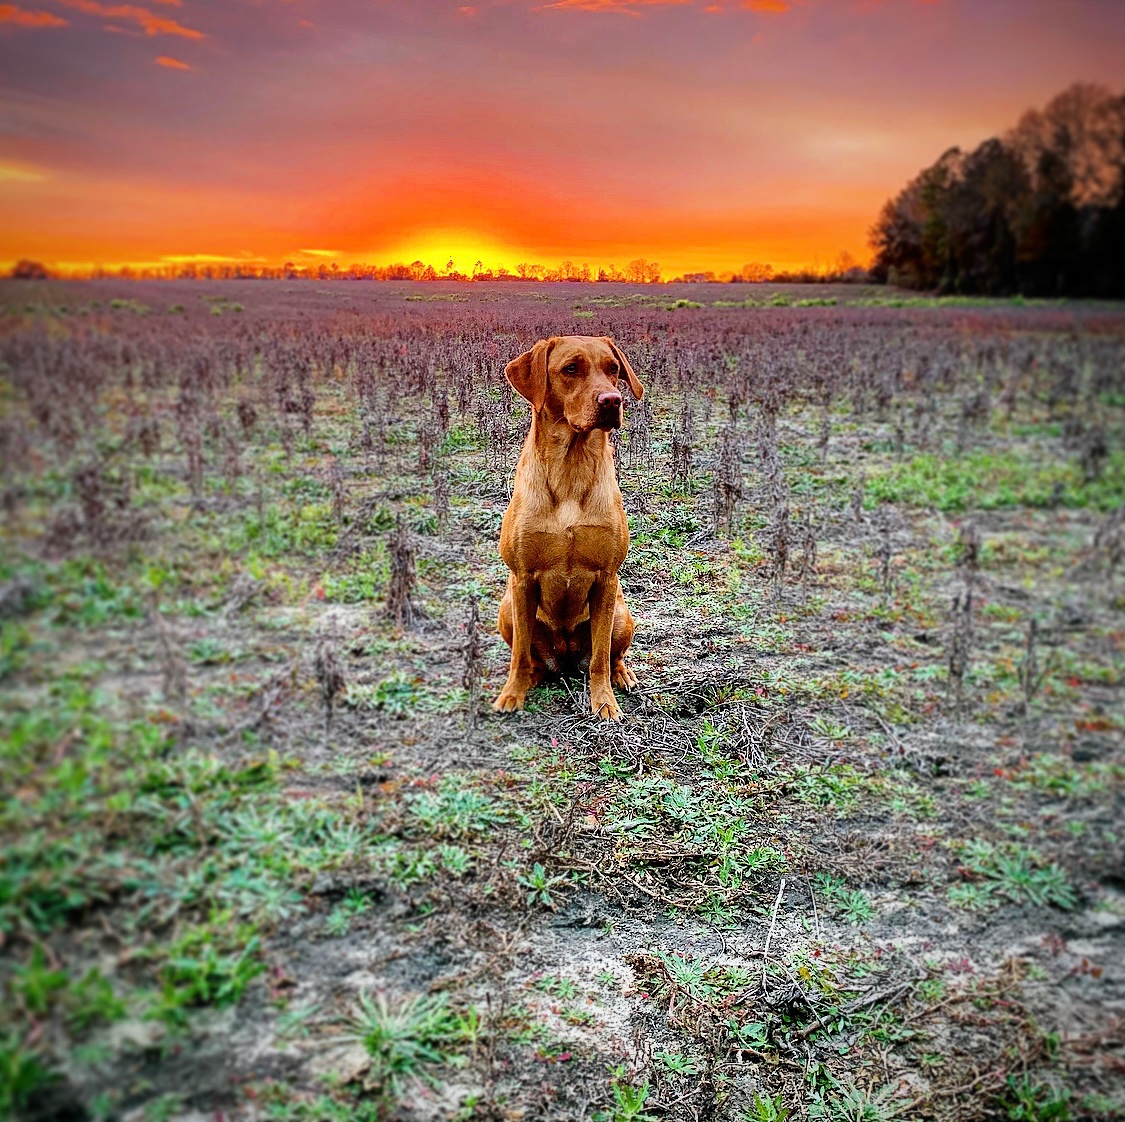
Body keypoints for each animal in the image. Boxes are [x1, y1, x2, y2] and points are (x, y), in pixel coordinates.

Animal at [490, 335, 643, 720]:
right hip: (507, 609)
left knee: (610, 655)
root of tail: (565, 659)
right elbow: (518, 656)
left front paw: (604, 702)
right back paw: (530, 678)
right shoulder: (522, 579)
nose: (612, 401)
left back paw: (622, 675)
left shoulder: (606, 579)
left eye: (613, 369)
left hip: (621, 613)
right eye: (570, 369)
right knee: (530, 658)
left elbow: (600, 658)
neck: (571, 467)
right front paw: (511, 694)